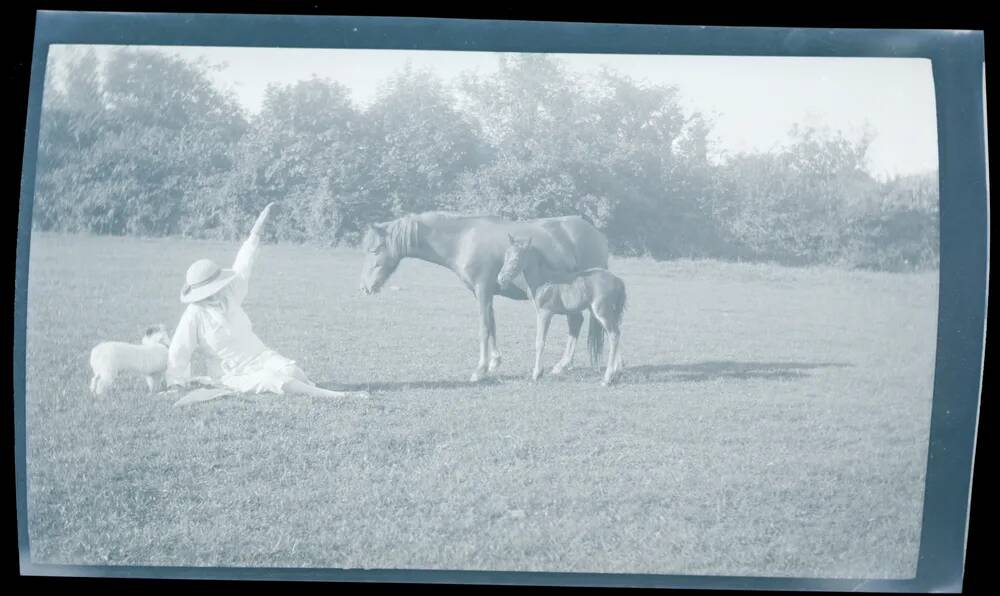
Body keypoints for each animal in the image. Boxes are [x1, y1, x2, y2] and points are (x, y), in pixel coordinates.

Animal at [360, 213, 608, 382]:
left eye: (375, 250)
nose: (365, 287)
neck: (463, 239)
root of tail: (595, 235)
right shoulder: (484, 293)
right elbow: (492, 325)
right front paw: (494, 362)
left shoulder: (482, 291)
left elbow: (483, 328)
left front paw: (479, 370)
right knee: (575, 323)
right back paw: (563, 365)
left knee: (576, 323)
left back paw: (563, 364)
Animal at [498, 235, 624, 384]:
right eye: (506, 256)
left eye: (516, 258)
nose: (501, 279)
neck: (544, 279)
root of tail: (617, 280)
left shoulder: (545, 313)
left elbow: (540, 342)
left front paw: (536, 374)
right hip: (606, 313)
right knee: (615, 334)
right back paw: (616, 372)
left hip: (602, 312)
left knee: (614, 334)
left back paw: (607, 378)